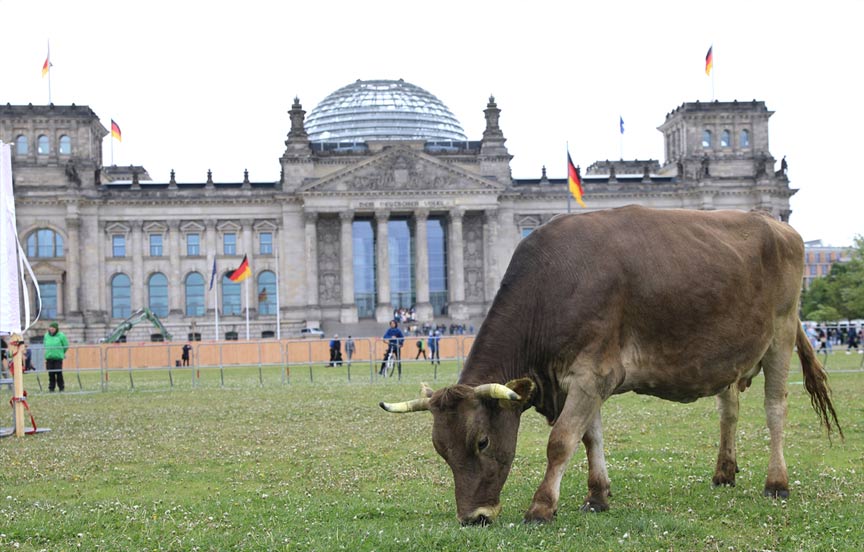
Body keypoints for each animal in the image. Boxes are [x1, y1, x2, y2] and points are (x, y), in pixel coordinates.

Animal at [382, 205, 840, 524]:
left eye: (482, 442)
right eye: (440, 449)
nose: (473, 518)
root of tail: (774, 222)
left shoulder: (592, 373)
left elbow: (561, 440)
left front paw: (541, 507)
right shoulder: (580, 379)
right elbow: (590, 438)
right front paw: (597, 496)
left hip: (780, 334)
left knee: (775, 408)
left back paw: (776, 482)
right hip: (730, 355)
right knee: (729, 410)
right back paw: (724, 472)